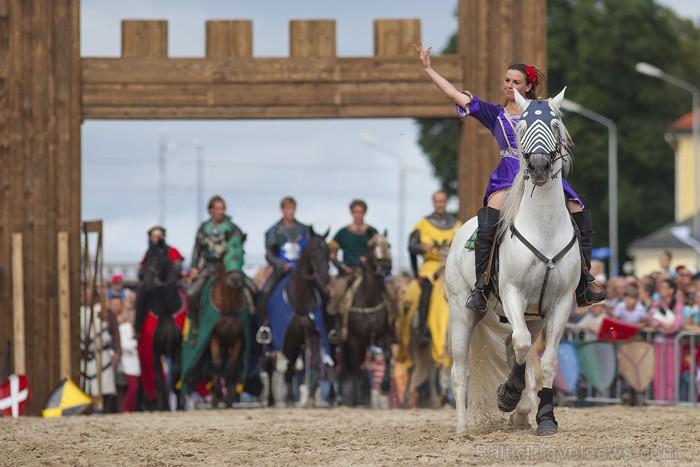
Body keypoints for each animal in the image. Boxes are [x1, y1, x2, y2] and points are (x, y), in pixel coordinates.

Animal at [135, 243, 186, 412]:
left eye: (162, 257)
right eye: (147, 257)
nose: (147, 281)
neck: (166, 311)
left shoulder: (177, 347)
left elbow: (176, 374)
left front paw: (180, 405)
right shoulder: (155, 349)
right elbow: (158, 378)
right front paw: (162, 406)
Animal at [270, 229, 330, 406]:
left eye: (328, 251)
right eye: (313, 249)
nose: (325, 276)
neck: (300, 297)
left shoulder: (313, 335)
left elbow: (315, 363)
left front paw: (311, 397)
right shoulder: (287, 338)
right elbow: (289, 367)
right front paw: (290, 397)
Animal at [338, 233, 394, 406]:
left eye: (388, 245)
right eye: (372, 246)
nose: (386, 266)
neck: (369, 300)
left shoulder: (383, 335)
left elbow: (387, 355)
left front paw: (385, 385)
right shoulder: (354, 339)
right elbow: (357, 366)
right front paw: (357, 399)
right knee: (351, 366)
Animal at [446, 89, 584, 436]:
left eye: (554, 123)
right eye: (521, 126)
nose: (538, 166)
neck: (544, 228)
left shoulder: (560, 303)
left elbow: (546, 361)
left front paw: (544, 418)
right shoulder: (511, 294)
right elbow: (521, 346)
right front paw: (507, 395)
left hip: (532, 316)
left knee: (517, 352)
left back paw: (522, 411)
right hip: (462, 312)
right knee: (461, 370)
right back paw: (463, 429)